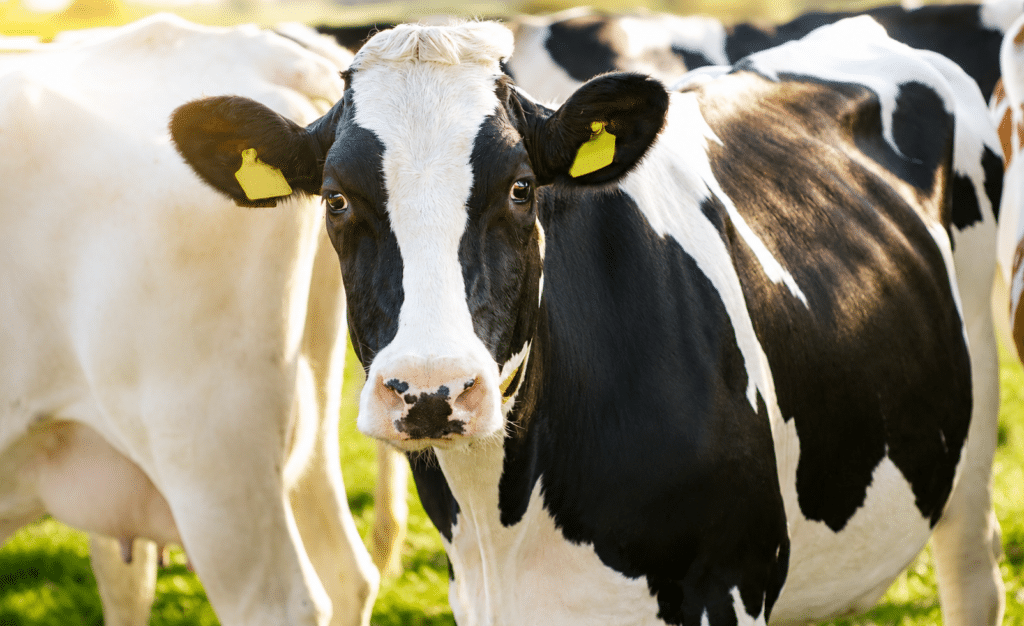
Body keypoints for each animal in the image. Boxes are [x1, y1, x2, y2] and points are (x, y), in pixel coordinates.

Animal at [168, 16, 1005, 626]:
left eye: (521, 187)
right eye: (337, 199)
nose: (433, 390)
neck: (508, 518)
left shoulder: (727, 581)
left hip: (974, 422)